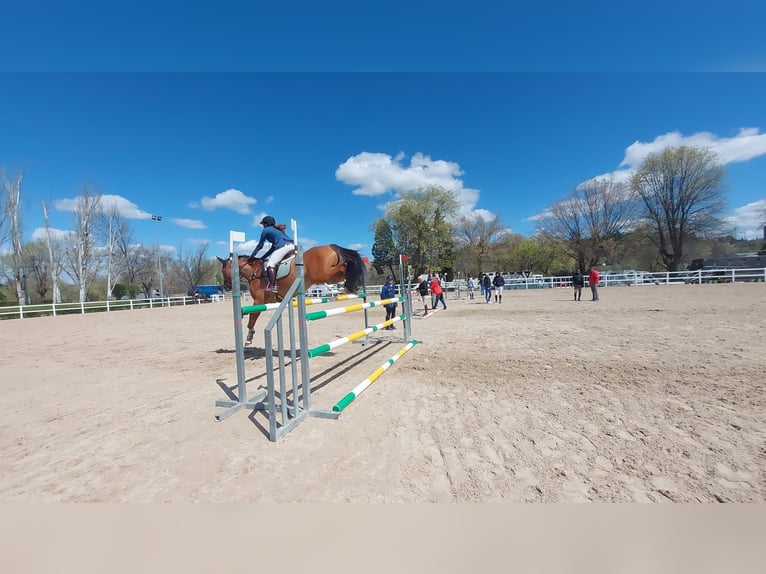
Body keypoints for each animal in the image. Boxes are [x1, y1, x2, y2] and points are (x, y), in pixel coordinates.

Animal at [219, 244, 366, 346]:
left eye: (223, 270)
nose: (226, 287)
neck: (255, 272)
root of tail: (330, 246)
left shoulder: (258, 301)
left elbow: (252, 318)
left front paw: (249, 338)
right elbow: (253, 317)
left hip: (323, 274)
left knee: (344, 265)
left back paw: (350, 285)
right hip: (330, 278)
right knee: (344, 269)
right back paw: (350, 285)